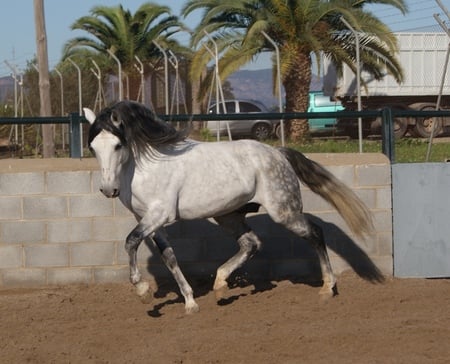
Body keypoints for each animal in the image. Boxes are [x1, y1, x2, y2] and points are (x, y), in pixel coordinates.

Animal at [84, 101, 372, 314]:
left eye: (118, 145)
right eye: (93, 147)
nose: (108, 190)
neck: (144, 168)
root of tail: (278, 153)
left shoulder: (159, 215)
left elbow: (131, 241)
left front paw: (142, 290)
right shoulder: (148, 220)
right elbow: (169, 257)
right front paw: (190, 303)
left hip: (284, 211)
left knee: (315, 233)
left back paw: (327, 288)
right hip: (228, 216)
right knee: (251, 243)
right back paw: (221, 284)